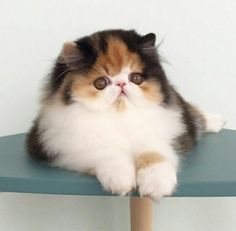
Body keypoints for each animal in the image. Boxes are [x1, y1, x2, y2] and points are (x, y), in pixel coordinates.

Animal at [26, 29, 224, 200]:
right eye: (100, 83)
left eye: (135, 78)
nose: (121, 84)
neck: (120, 116)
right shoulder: (65, 148)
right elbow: (109, 154)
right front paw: (121, 182)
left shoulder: (157, 138)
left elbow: (154, 156)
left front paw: (156, 187)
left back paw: (219, 121)